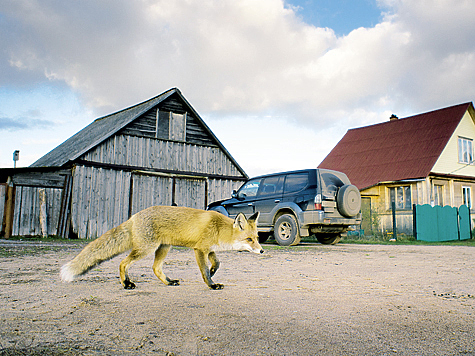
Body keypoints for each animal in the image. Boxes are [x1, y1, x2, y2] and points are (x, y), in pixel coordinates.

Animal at [60, 206, 264, 290]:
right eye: (248, 239)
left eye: (257, 238)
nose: (262, 251)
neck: (220, 229)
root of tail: (134, 216)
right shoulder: (199, 249)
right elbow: (205, 271)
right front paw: (212, 284)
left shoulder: (209, 249)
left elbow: (217, 263)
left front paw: (214, 272)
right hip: (147, 248)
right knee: (122, 263)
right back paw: (126, 283)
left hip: (164, 248)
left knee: (155, 268)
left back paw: (168, 282)